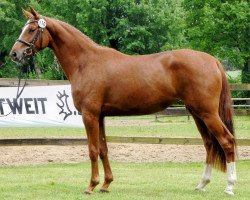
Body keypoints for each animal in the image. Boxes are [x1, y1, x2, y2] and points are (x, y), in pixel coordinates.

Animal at [9, 6, 236, 195]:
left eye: (31, 30)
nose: (14, 54)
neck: (86, 62)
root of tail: (212, 60)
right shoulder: (100, 116)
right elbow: (103, 150)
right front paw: (106, 184)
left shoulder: (89, 115)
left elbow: (92, 150)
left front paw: (91, 186)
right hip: (197, 113)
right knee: (209, 144)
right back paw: (201, 184)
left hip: (207, 113)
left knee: (227, 141)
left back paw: (229, 186)